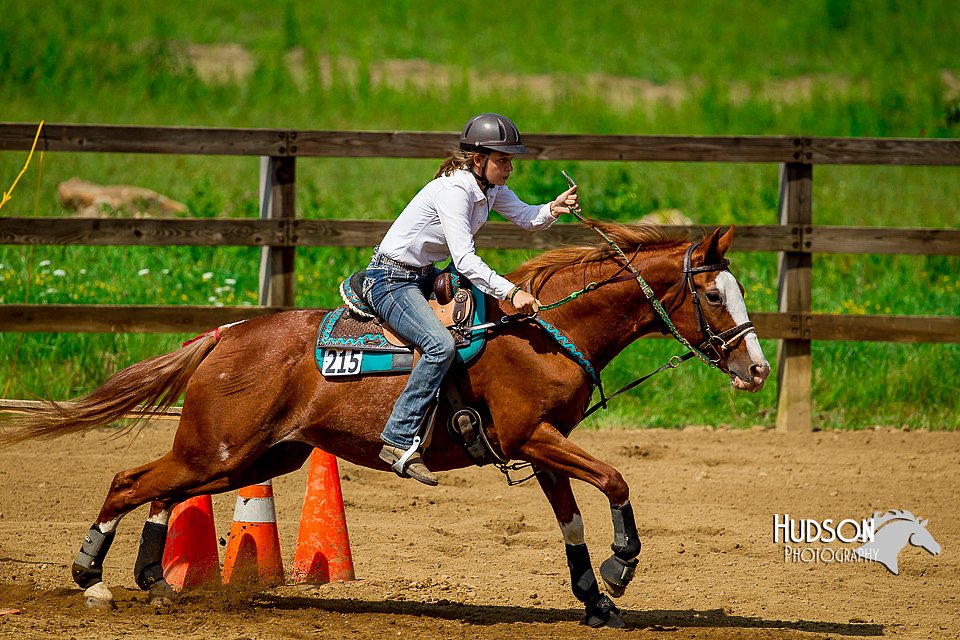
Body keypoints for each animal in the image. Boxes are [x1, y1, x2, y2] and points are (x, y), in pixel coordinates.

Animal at [0, 222, 768, 628]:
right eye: (711, 294)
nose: (757, 369)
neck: (542, 330)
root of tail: (226, 335)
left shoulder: (546, 447)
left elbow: (572, 518)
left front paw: (595, 598)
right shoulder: (534, 438)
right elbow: (615, 480)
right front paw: (622, 567)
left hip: (254, 458)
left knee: (159, 488)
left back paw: (154, 581)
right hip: (220, 448)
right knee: (129, 480)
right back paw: (92, 579)